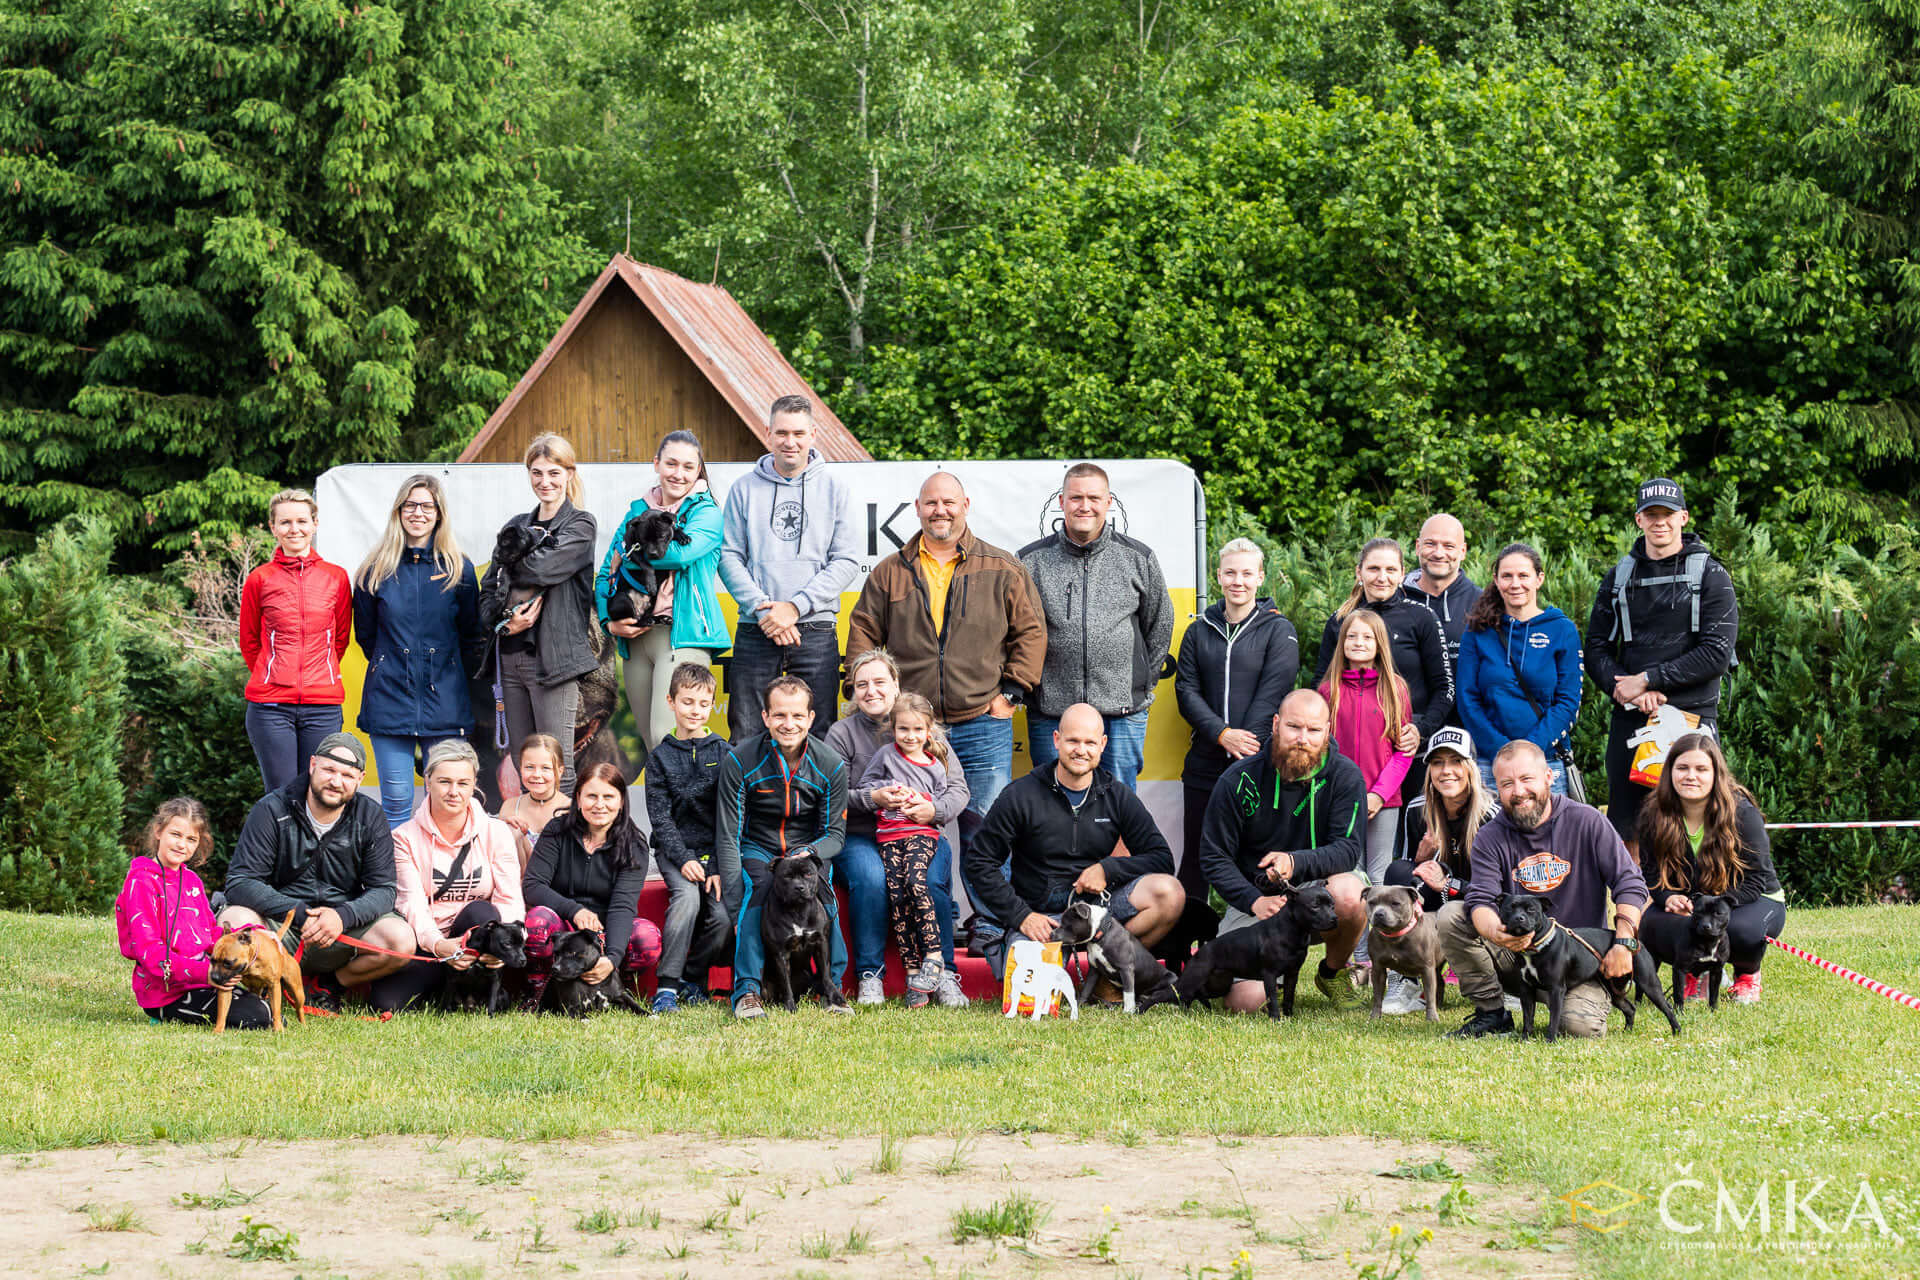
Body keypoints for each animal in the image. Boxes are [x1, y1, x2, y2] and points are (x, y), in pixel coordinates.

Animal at [1044, 898, 1175, 1013]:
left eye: (1065, 924)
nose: (1051, 934)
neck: (1100, 935)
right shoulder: (1094, 970)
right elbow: (1086, 989)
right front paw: (1077, 1005)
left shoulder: (1126, 969)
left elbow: (1128, 993)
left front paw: (1128, 1012)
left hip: (1170, 978)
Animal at [1167, 882, 1336, 1020]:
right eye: (1315, 906)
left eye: (1332, 905)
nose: (1335, 918)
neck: (1294, 930)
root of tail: (1199, 952)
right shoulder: (1269, 975)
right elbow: (1273, 999)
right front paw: (1276, 1020)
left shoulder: (1292, 974)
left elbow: (1289, 997)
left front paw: (1289, 1017)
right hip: (1197, 978)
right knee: (1184, 994)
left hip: (1218, 983)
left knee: (1197, 993)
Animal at [1359, 886, 1443, 1028]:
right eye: (1372, 902)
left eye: (1395, 903)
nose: (1379, 913)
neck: (1394, 936)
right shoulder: (1378, 969)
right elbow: (1377, 997)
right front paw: (1374, 1018)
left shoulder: (1427, 970)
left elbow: (1429, 995)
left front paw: (1432, 1019)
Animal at [1497, 890, 1681, 1043]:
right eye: (1509, 909)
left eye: (1531, 909)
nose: (1519, 918)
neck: (1536, 947)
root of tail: (1636, 942)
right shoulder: (1527, 990)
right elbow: (1528, 1017)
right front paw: (1525, 1039)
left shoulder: (1556, 989)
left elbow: (1554, 1018)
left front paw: (1550, 1040)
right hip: (1614, 989)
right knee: (1630, 1008)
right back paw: (1627, 1031)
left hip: (1648, 983)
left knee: (1667, 1008)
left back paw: (1676, 1031)